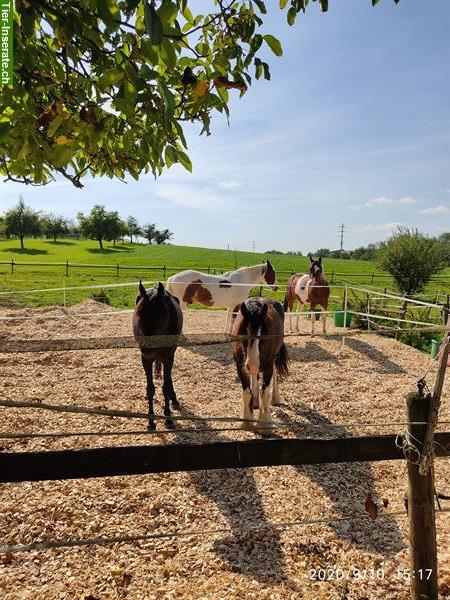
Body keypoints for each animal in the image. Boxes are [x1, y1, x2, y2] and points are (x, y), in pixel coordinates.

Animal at [133, 282, 184, 432]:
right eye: (138, 315)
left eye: (159, 317)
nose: (147, 349)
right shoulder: (145, 359)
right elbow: (150, 389)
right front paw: (151, 421)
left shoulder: (168, 356)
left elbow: (165, 387)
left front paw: (168, 418)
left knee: (168, 377)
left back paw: (174, 400)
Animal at [232, 298, 288, 434]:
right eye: (244, 332)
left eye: (263, 334)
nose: (252, 364)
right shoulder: (240, 367)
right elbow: (247, 393)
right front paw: (246, 422)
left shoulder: (267, 366)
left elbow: (265, 394)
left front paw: (264, 424)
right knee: (255, 377)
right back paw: (255, 402)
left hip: (274, 357)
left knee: (274, 374)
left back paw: (275, 398)